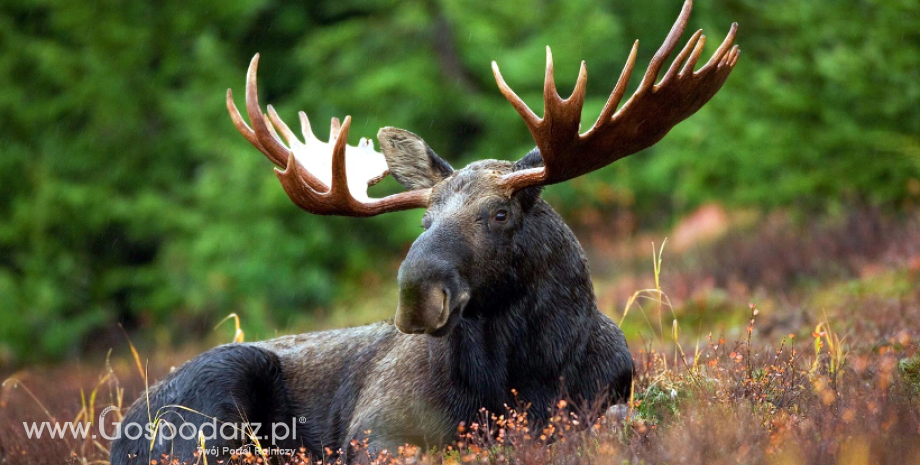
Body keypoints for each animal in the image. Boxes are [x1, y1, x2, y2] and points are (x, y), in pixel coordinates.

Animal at [111, 1, 736, 462]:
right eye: (424, 220)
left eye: (500, 214)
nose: (415, 294)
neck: (525, 376)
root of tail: (119, 431)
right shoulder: (376, 428)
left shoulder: (608, 397)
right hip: (213, 395)